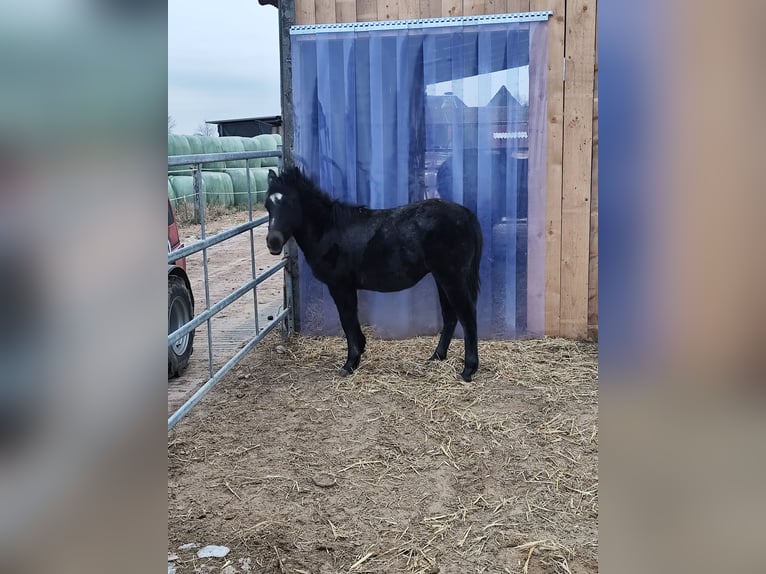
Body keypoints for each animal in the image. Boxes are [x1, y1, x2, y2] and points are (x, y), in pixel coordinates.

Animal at [264, 166, 480, 382]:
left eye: (291, 203)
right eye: (268, 205)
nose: (273, 242)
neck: (329, 231)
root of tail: (466, 214)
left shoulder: (341, 286)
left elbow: (347, 320)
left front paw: (350, 363)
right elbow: (351, 321)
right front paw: (358, 351)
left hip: (451, 277)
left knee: (467, 316)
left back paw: (468, 370)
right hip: (441, 277)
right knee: (450, 315)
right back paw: (437, 356)